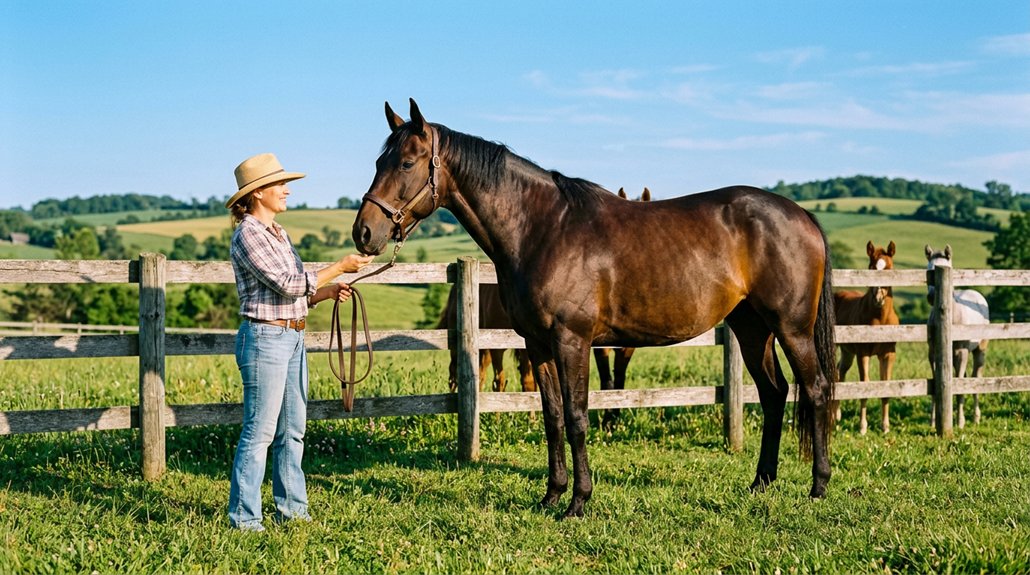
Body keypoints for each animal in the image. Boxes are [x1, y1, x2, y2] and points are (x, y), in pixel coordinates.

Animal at [353, 99, 837, 518]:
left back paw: (818, 486)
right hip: (752, 327)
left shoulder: (573, 341)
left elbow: (577, 417)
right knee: (774, 393)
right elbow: (552, 418)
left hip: (791, 328)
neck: (543, 229)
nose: (364, 233)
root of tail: (803, 216)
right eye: (378, 163)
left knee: (815, 390)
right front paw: (551, 495)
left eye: (406, 163)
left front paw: (578, 502)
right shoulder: (537, 344)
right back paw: (761, 482)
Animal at [831, 241, 899, 434]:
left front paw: (885, 426)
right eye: (871, 267)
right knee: (834, 374)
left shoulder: (888, 354)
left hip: (847, 352)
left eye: (889, 268)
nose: (878, 298)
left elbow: (885, 385)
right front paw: (862, 427)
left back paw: (837, 416)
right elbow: (865, 385)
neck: (880, 320)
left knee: (840, 371)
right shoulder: (863, 353)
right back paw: (833, 417)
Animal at [925, 244, 989, 428]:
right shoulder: (933, 354)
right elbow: (936, 384)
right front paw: (933, 422)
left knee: (975, 378)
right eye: (928, 270)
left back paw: (975, 417)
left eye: (946, 267)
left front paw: (960, 422)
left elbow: (960, 386)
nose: (932, 297)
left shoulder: (962, 352)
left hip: (978, 350)